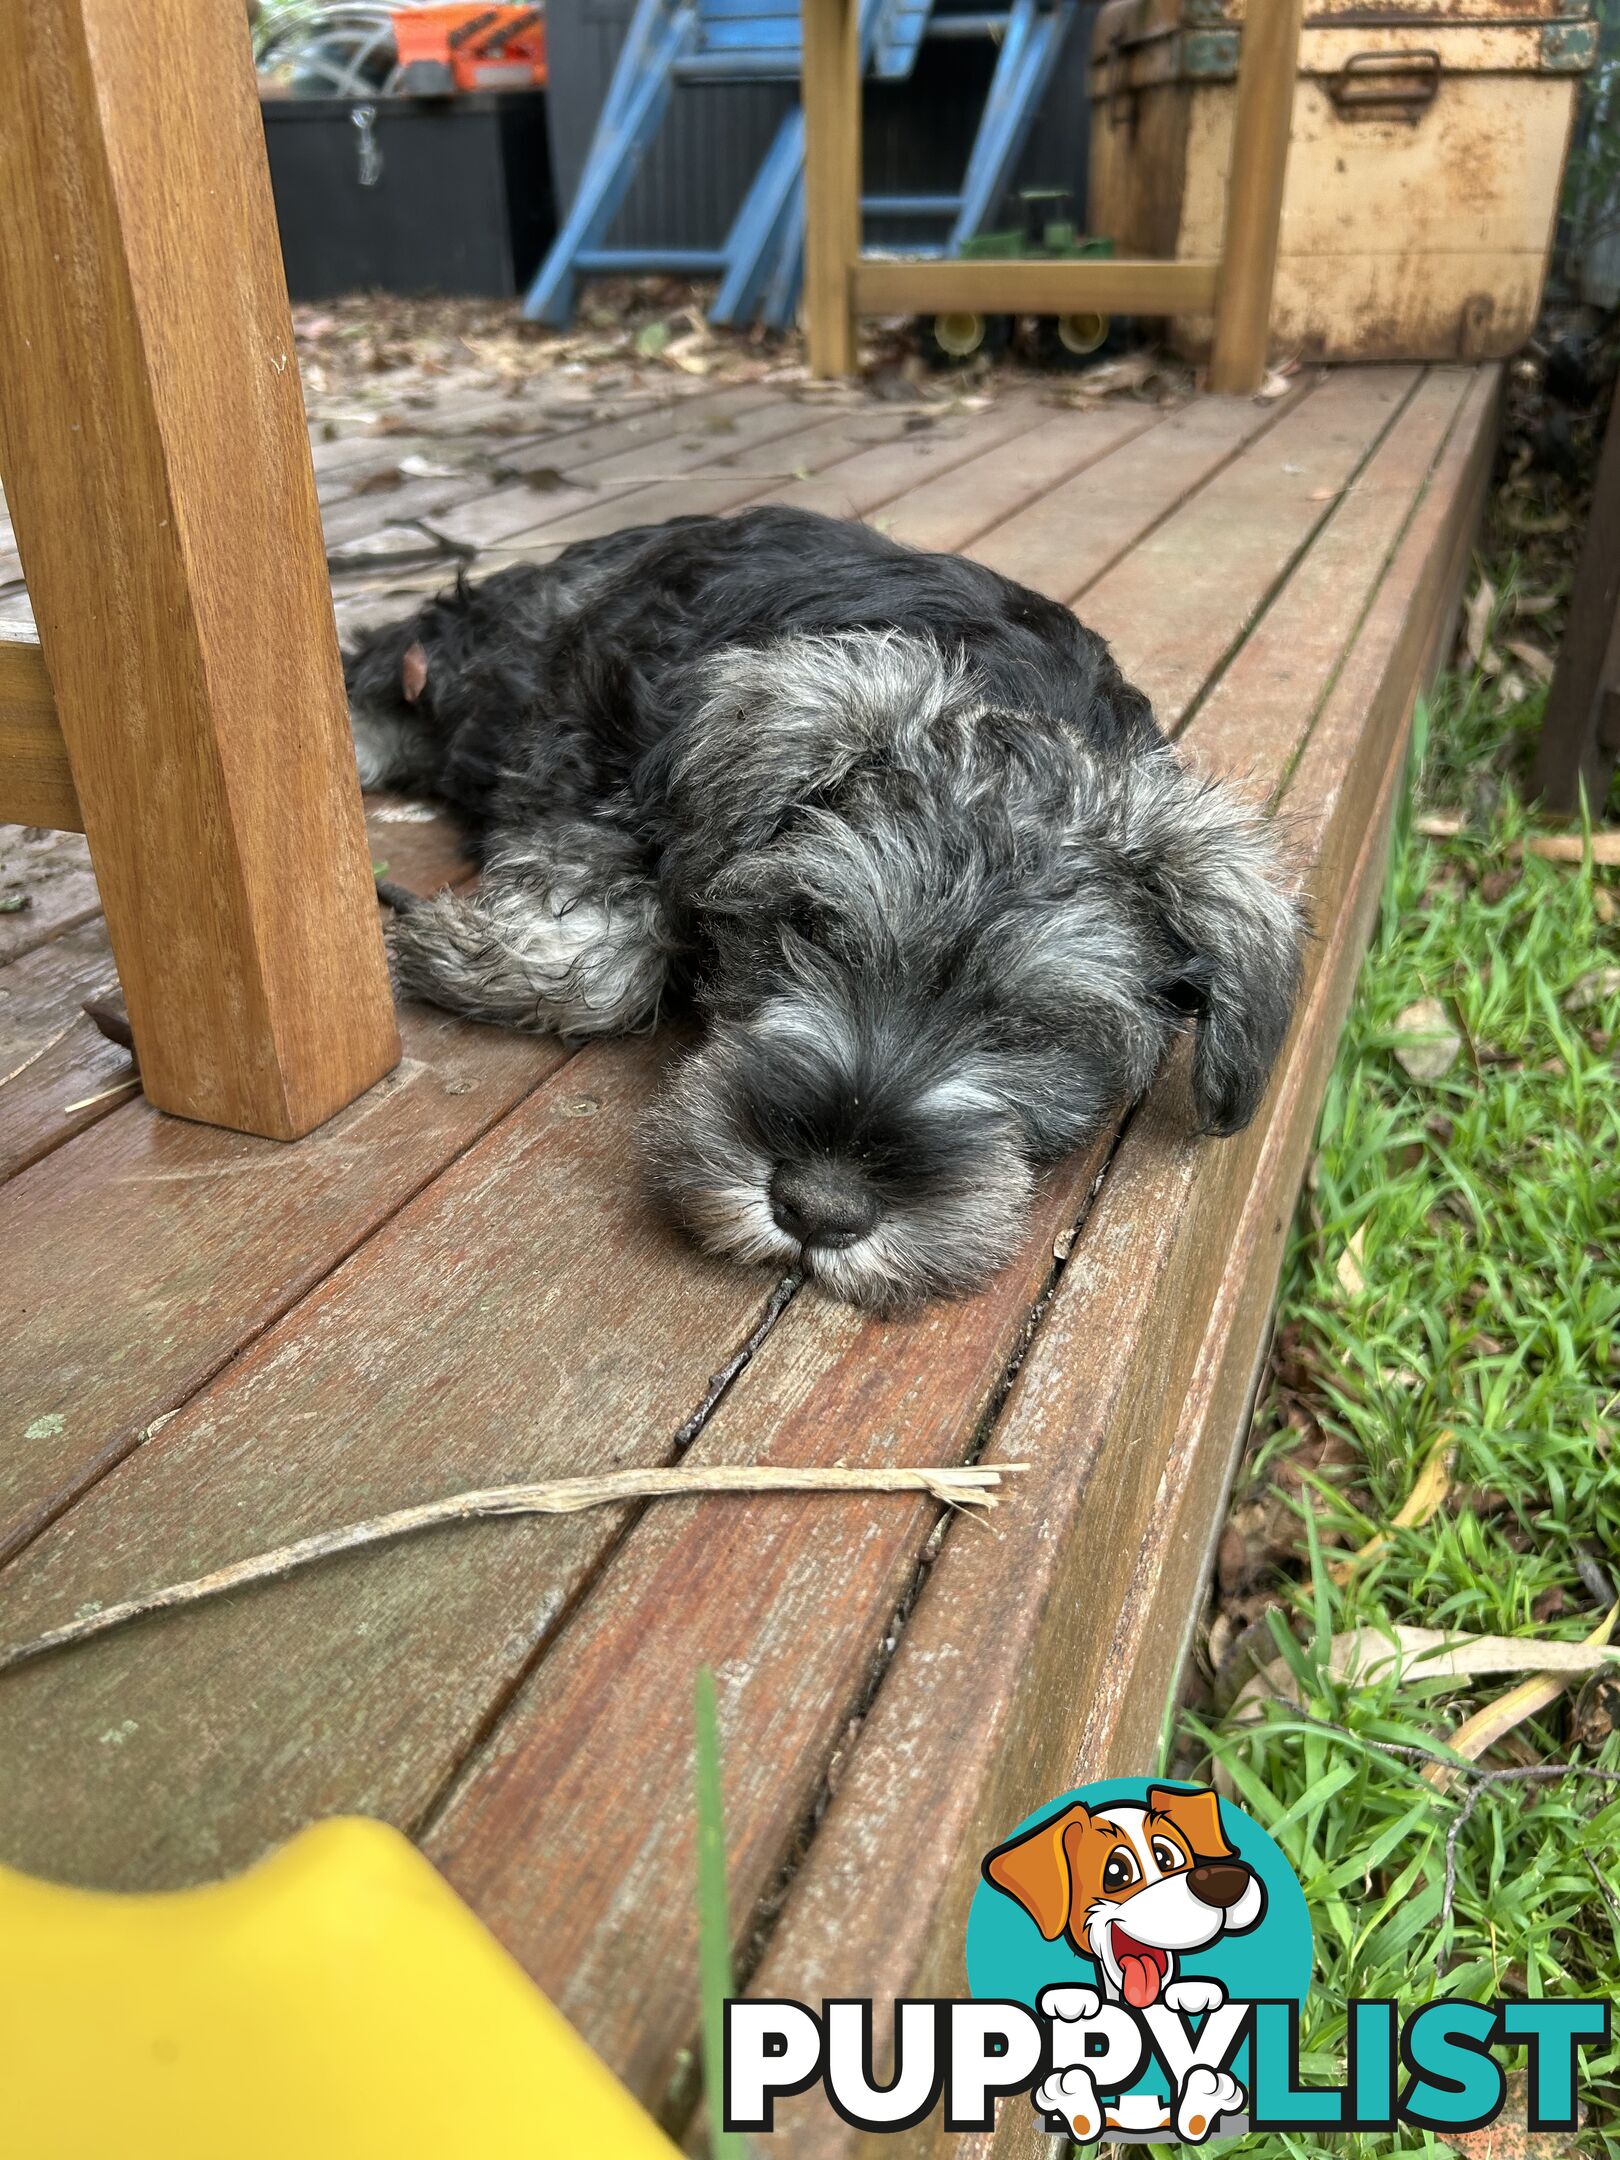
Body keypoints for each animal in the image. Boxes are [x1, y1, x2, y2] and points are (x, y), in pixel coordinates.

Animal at [343, 505, 1304, 1304]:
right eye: (806, 928)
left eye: (1034, 1029)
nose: (817, 1207)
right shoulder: (585, 725)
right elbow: (597, 962)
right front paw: (460, 954)